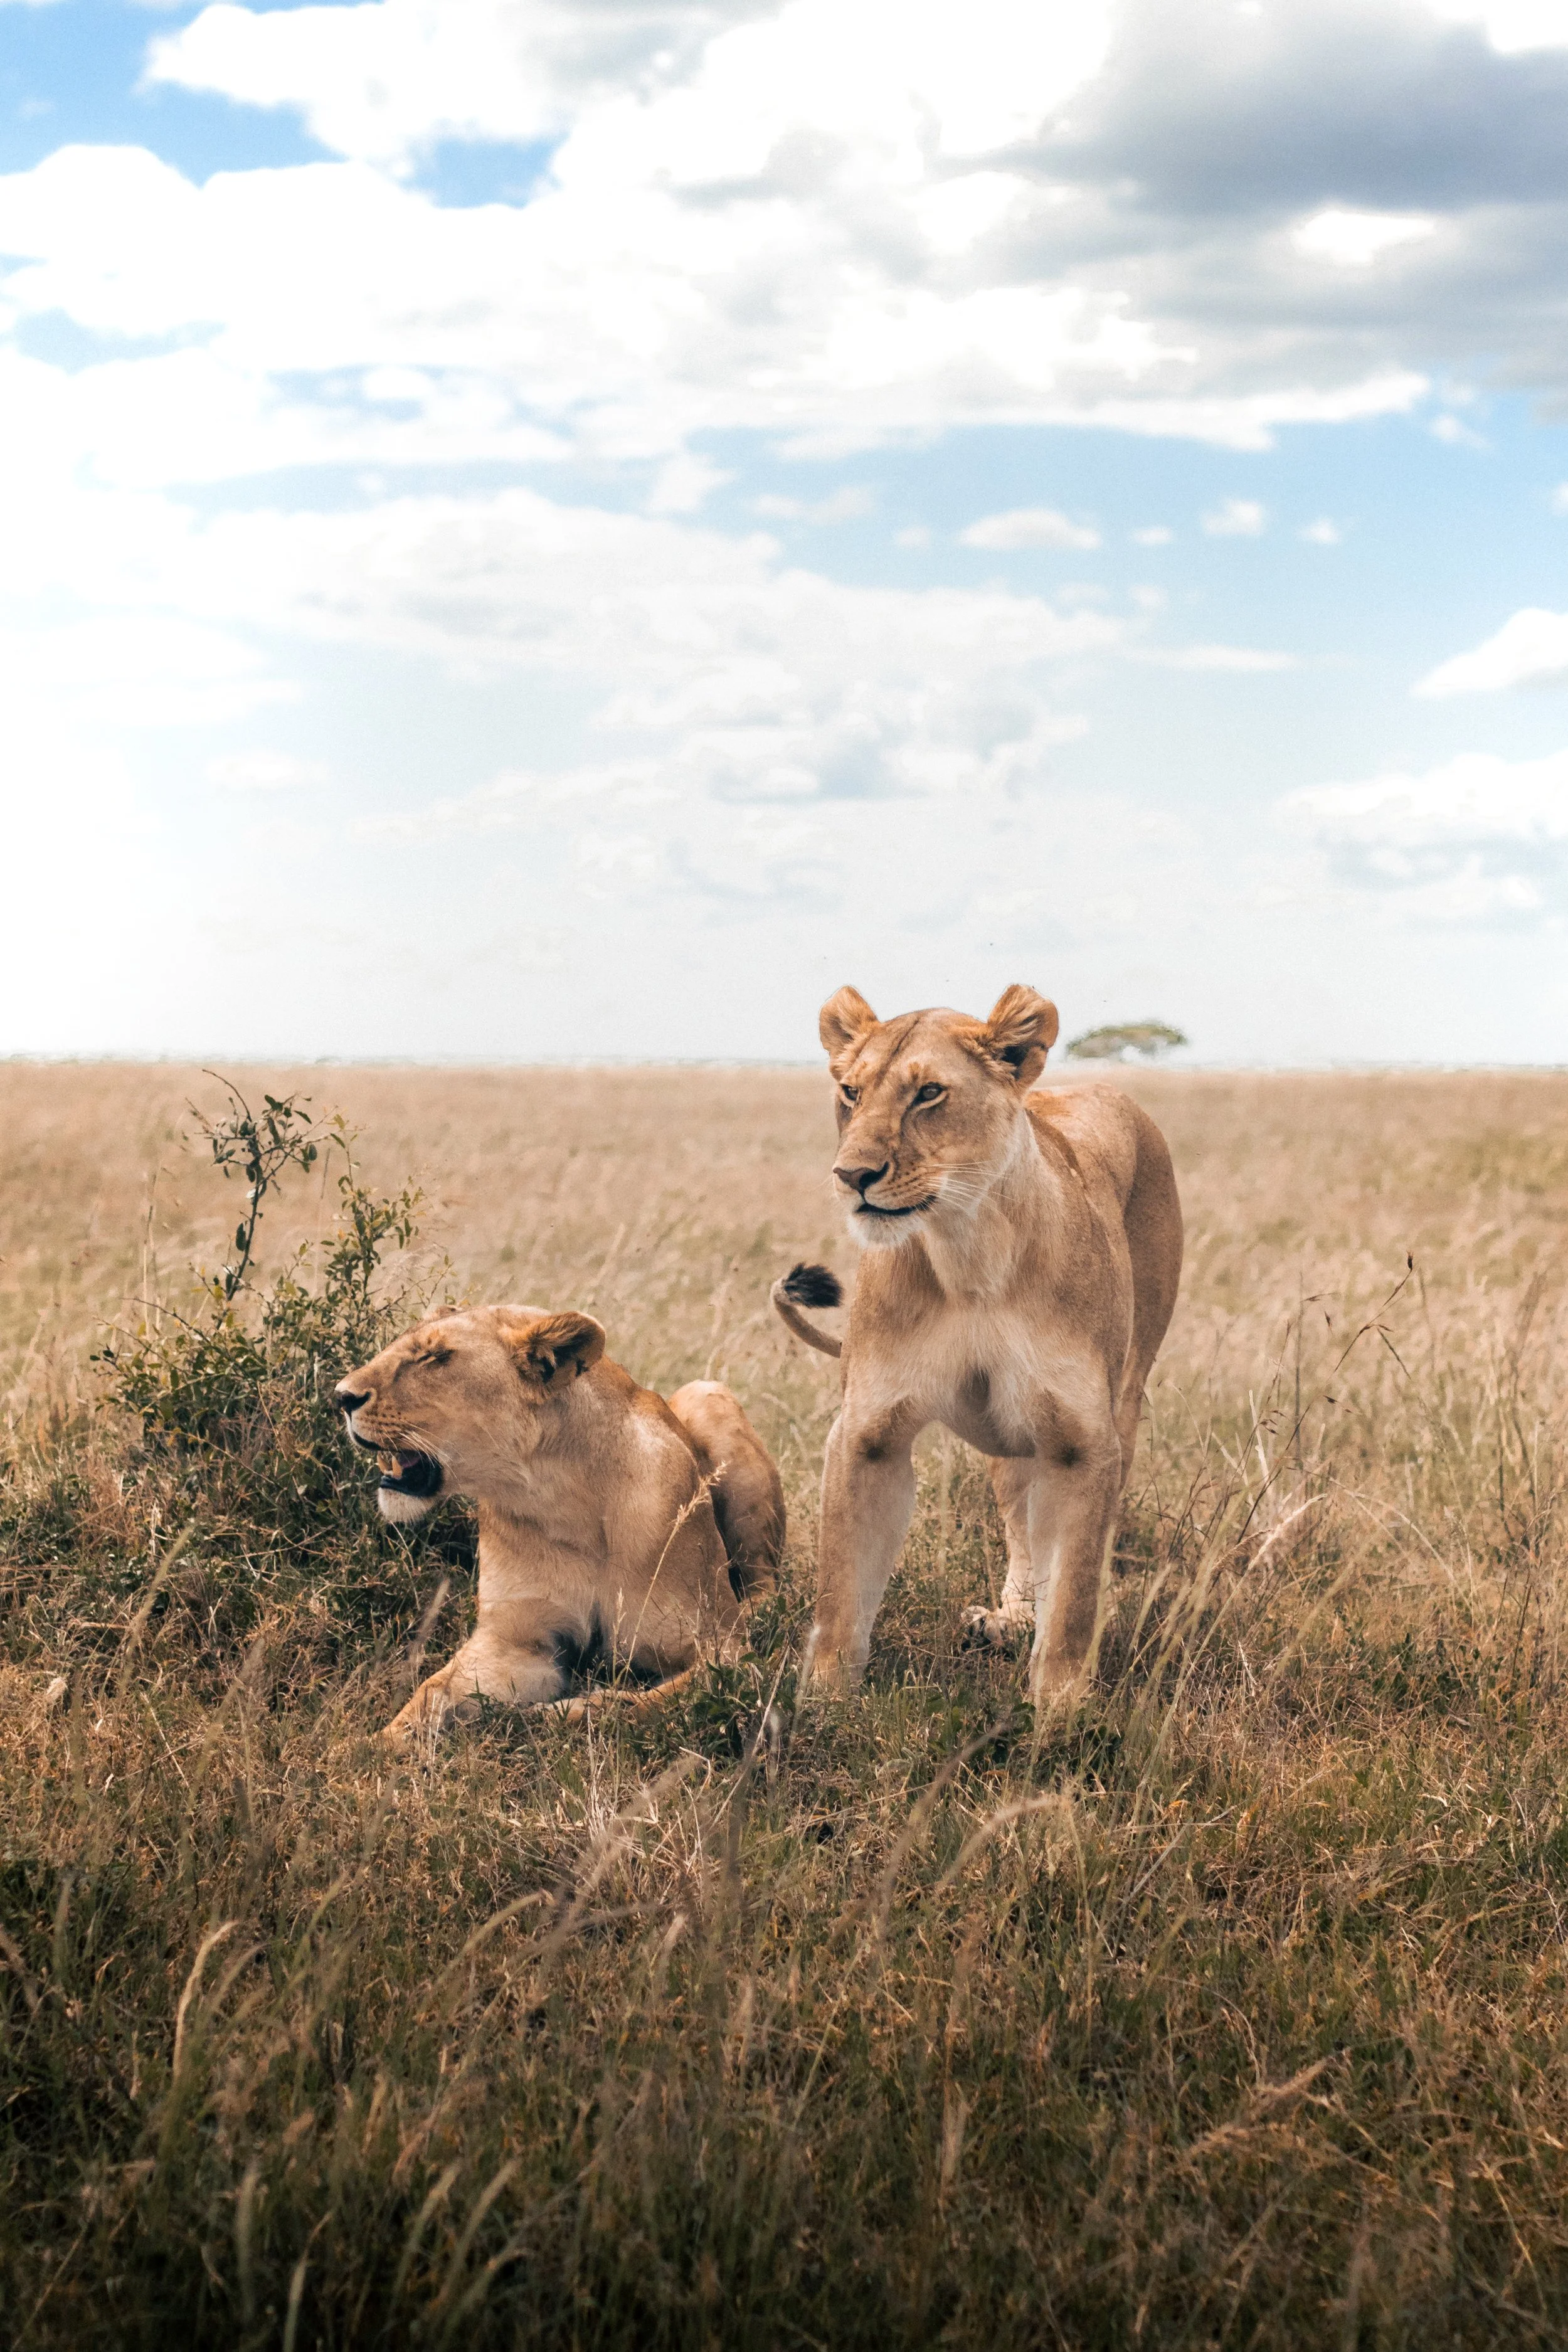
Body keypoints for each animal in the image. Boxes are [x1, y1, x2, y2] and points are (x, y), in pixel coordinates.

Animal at [334, 1304, 784, 1745]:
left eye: (435, 1356)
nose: (341, 1396)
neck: (561, 1499)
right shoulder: (516, 1643)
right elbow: (430, 1695)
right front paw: (366, 1748)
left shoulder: (724, 1646)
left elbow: (649, 1705)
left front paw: (562, 1712)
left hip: (708, 1394)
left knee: (766, 1586)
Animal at [772, 983, 1183, 1711]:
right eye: (850, 1091)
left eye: (928, 1094)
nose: (851, 1175)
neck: (969, 1249)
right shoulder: (867, 1433)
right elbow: (842, 1588)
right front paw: (818, 1708)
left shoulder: (1084, 1440)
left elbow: (1073, 1591)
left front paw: (1062, 1713)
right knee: (1020, 1520)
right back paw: (1006, 1620)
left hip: (1126, 1397)